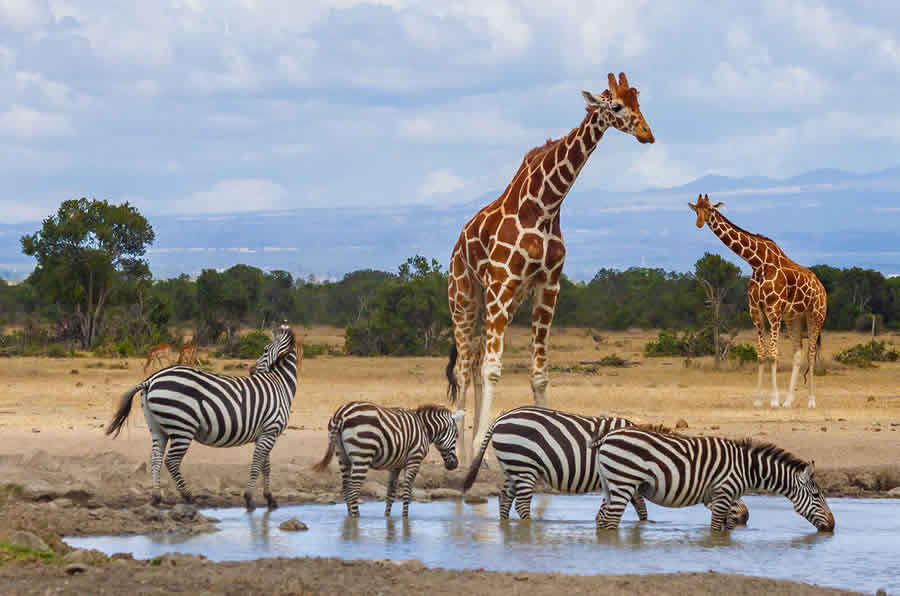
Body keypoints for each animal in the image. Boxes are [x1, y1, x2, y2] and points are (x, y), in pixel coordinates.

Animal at [105, 324, 302, 510]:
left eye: (265, 350)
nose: (251, 370)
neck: (280, 384)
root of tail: (150, 380)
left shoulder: (265, 433)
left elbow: (265, 466)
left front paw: (269, 498)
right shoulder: (270, 431)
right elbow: (257, 464)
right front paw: (249, 498)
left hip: (157, 427)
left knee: (155, 459)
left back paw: (156, 497)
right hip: (182, 427)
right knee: (171, 461)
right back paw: (189, 496)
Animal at [312, 400, 464, 516]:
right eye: (457, 435)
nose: (455, 465)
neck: (425, 429)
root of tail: (341, 413)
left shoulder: (396, 465)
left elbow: (391, 492)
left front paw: (387, 517)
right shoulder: (414, 460)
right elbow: (407, 491)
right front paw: (405, 517)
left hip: (342, 455)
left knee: (346, 488)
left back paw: (350, 519)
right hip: (362, 454)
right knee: (354, 490)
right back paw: (356, 518)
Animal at [448, 71, 652, 460]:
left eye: (639, 102)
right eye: (617, 106)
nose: (647, 133)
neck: (544, 206)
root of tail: (455, 248)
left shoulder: (548, 285)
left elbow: (539, 373)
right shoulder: (504, 280)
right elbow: (494, 370)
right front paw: (480, 449)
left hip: (502, 302)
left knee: (477, 359)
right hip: (465, 298)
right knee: (466, 369)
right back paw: (464, 456)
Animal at [592, 424, 836, 532]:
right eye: (816, 495)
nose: (833, 526)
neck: (748, 469)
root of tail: (606, 437)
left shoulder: (726, 499)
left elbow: (726, 528)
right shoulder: (723, 494)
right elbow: (715, 528)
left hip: (610, 485)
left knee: (603, 519)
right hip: (624, 483)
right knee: (611, 521)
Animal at [688, 193, 828, 408]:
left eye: (710, 208)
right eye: (696, 209)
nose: (699, 223)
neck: (757, 262)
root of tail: (822, 288)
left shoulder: (773, 310)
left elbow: (773, 354)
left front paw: (774, 400)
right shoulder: (756, 310)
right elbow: (761, 354)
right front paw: (759, 400)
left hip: (816, 316)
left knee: (811, 354)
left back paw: (811, 402)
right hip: (794, 318)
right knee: (798, 354)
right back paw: (789, 401)